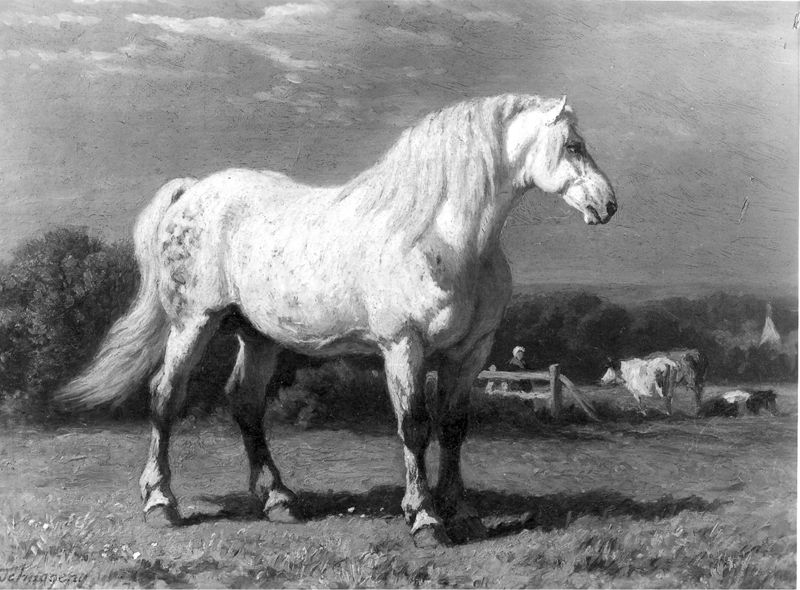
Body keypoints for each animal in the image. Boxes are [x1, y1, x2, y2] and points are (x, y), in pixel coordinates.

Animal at [59, 94, 617, 547]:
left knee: (245, 403)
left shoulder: (470, 352)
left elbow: (455, 427)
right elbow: (415, 427)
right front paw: (425, 519)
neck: (439, 235)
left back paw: (278, 499)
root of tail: (193, 191)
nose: (608, 205)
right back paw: (160, 503)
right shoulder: (403, 346)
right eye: (573, 145)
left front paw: (462, 513)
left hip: (257, 336)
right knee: (164, 398)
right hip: (193, 323)